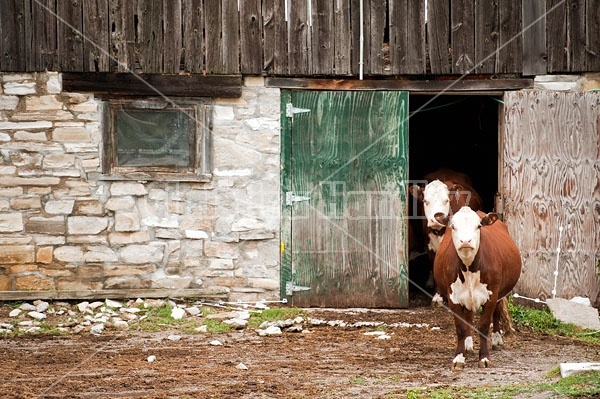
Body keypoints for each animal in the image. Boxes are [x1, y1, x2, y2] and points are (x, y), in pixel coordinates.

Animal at [434, 208, 524, 370]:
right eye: (453, 226)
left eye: (478, 226)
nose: (465, 241)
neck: (469, 267)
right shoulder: (453, 297)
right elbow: (461, 328)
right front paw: (459, 357)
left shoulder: (491, 295)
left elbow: (483, 326)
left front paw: (484, 358)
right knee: (469, 317)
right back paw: (468, 344)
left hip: (500, 293)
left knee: (497, 312)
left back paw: (496, 339)